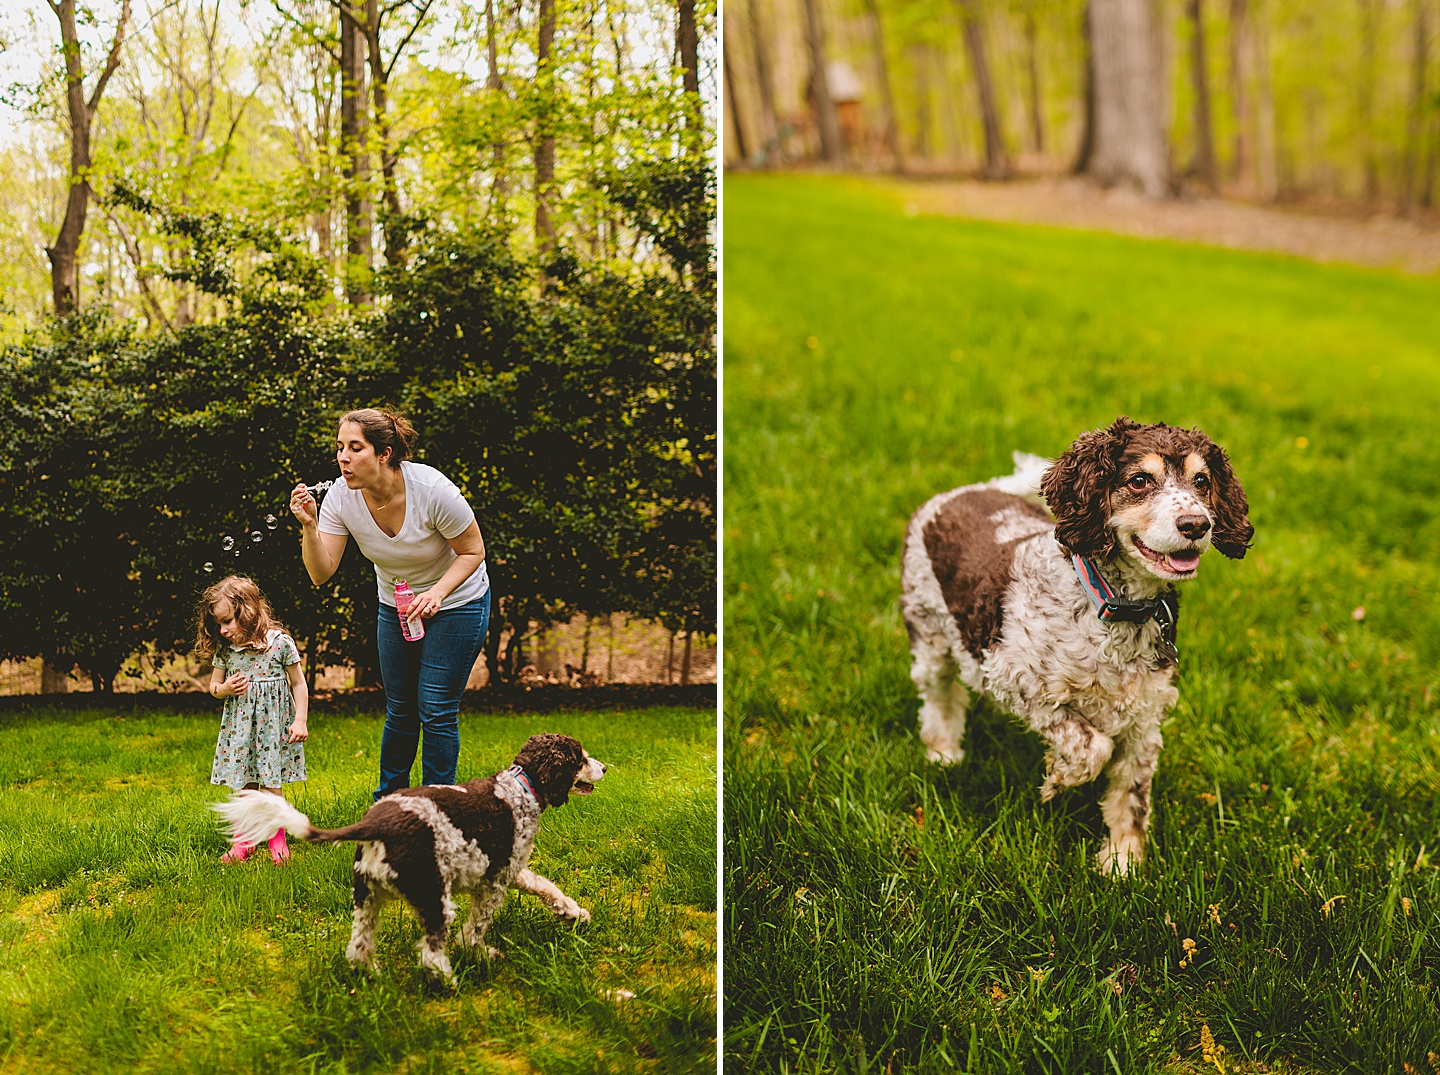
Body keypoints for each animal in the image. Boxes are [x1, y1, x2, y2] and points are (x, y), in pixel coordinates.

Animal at [210, 736, 604, 978]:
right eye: (579, 757)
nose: (604, 767)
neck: (521, 786)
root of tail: (375, 824)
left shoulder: (508, 867)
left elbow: (545, 886)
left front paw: (574, 912)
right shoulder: (494, 883)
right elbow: (475, 928)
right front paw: (479, 953)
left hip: (366, 897)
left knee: (358, 947)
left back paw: (372, 977)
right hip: (433, 896)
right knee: (430, 952)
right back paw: (447, 982)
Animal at [898, 417, 1249, 880]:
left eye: (1202, 481)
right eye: (1139, 480)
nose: (1196, 524)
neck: (1112, 610)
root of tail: (965, 491)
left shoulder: (1144, 719)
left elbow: (1131, 795)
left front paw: (1122, 861)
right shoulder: (1016, 680)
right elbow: (1091, 747)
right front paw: (1057, 779)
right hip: (929, 632)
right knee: (939, 695)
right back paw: (943, 752)